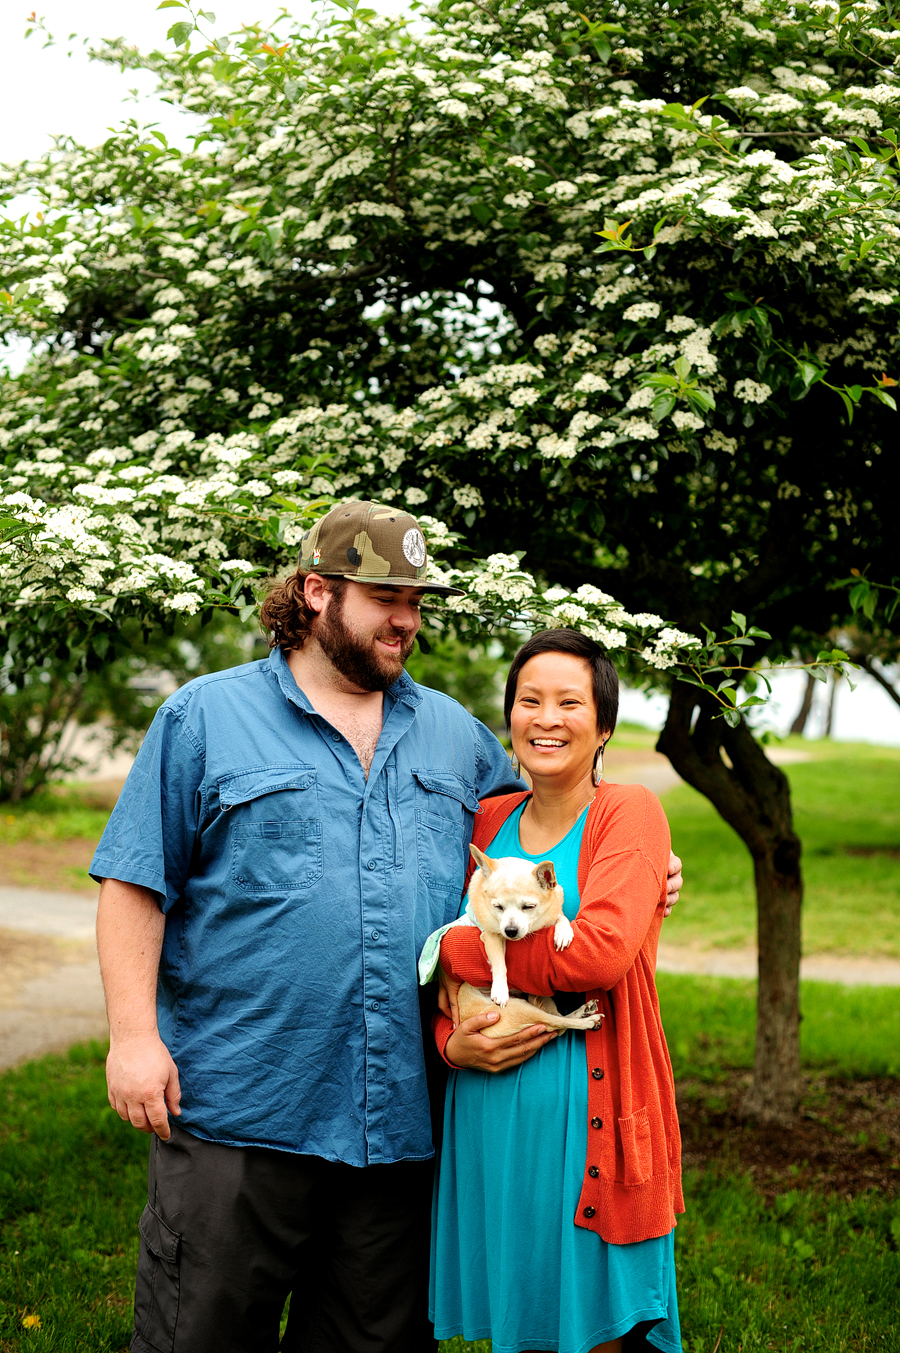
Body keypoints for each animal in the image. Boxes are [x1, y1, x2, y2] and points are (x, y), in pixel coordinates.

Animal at [457, 844, 603, 1033]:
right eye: (498, 907)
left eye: (528, 906)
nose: (510, 930)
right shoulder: (491, 935)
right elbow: (499, 962)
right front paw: (500, 989)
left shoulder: (550, 916)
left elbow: (560, 917)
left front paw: (563, 932)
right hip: (520, 1009)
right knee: (555, 1022)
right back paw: (588, 1021)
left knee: (556, 1019)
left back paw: (583, 1012)